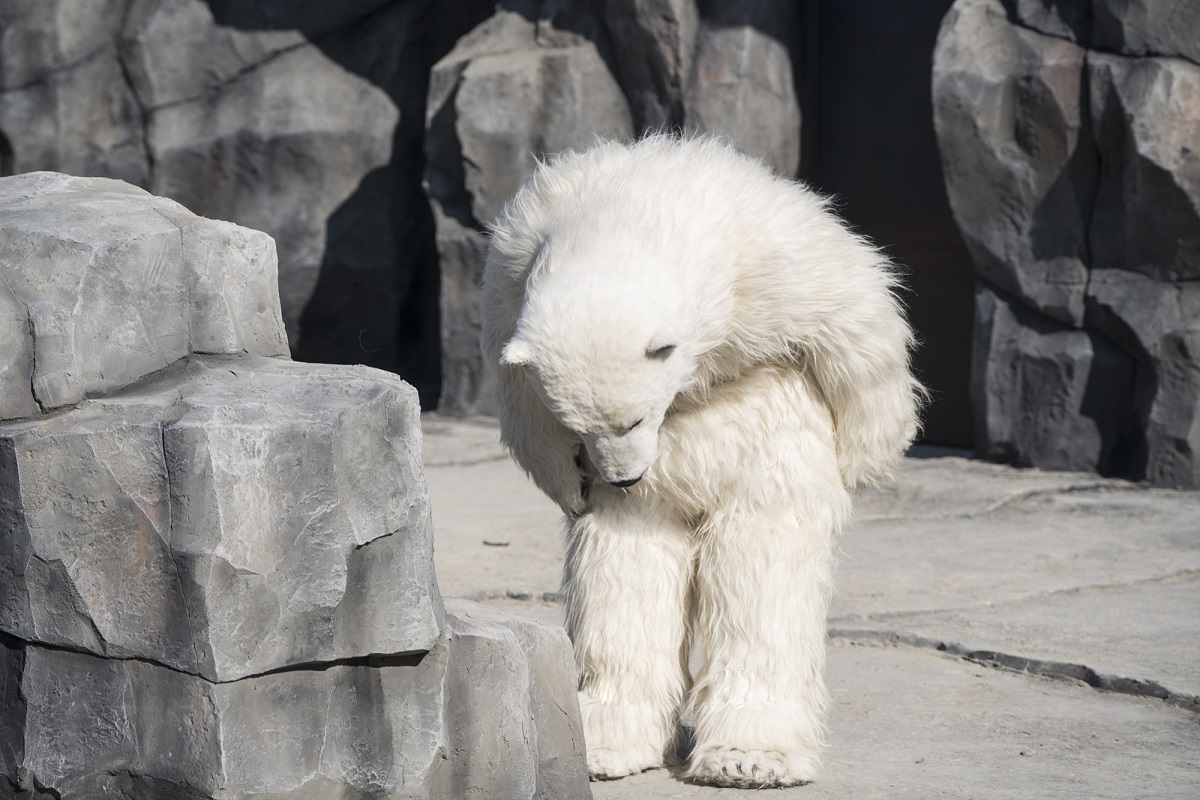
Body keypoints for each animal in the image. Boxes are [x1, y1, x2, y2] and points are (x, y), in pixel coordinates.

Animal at [477, 136, 916, 786]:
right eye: (580, 428)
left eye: (634, 421)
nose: (624, 476)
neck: (634, 211)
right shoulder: (513, 266)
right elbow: (517, 391)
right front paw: (566, 483)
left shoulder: (772, 263)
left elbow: (858, 322)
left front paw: (868, 453)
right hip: (655, 499)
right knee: (622, 566)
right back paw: (605, 742)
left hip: (768, 455)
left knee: (764, 569)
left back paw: (749, 756)